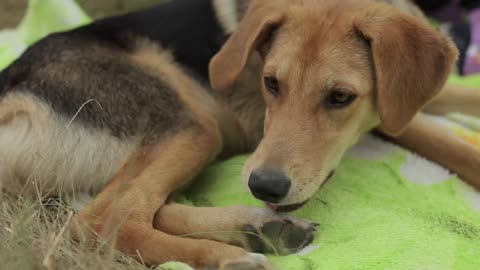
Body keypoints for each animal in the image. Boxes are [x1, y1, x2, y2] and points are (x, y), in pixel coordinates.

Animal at [0, 0, 480, 268]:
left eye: (341, 97)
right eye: (271, 83)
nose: (264, 186)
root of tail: (11, 95)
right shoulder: (396, 117)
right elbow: (449, 145)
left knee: (125, 208)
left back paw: (260, 228)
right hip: (190, 123)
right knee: (103, 220)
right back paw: (226, 256)